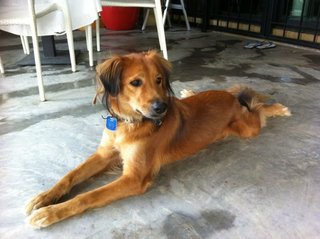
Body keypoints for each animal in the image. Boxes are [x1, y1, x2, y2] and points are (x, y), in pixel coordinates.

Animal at [24, 49, 290, 227]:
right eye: (135, 82)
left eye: (159, 80)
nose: (162, 107)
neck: (130, 123)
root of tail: (232, 101)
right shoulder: (105, 153)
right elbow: (70, 176)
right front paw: (43, 198)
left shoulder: (134, 177)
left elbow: (88, 195)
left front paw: (50, 213)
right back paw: (190, 91)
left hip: (248, 128)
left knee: (258, 107)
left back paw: (278, 108)